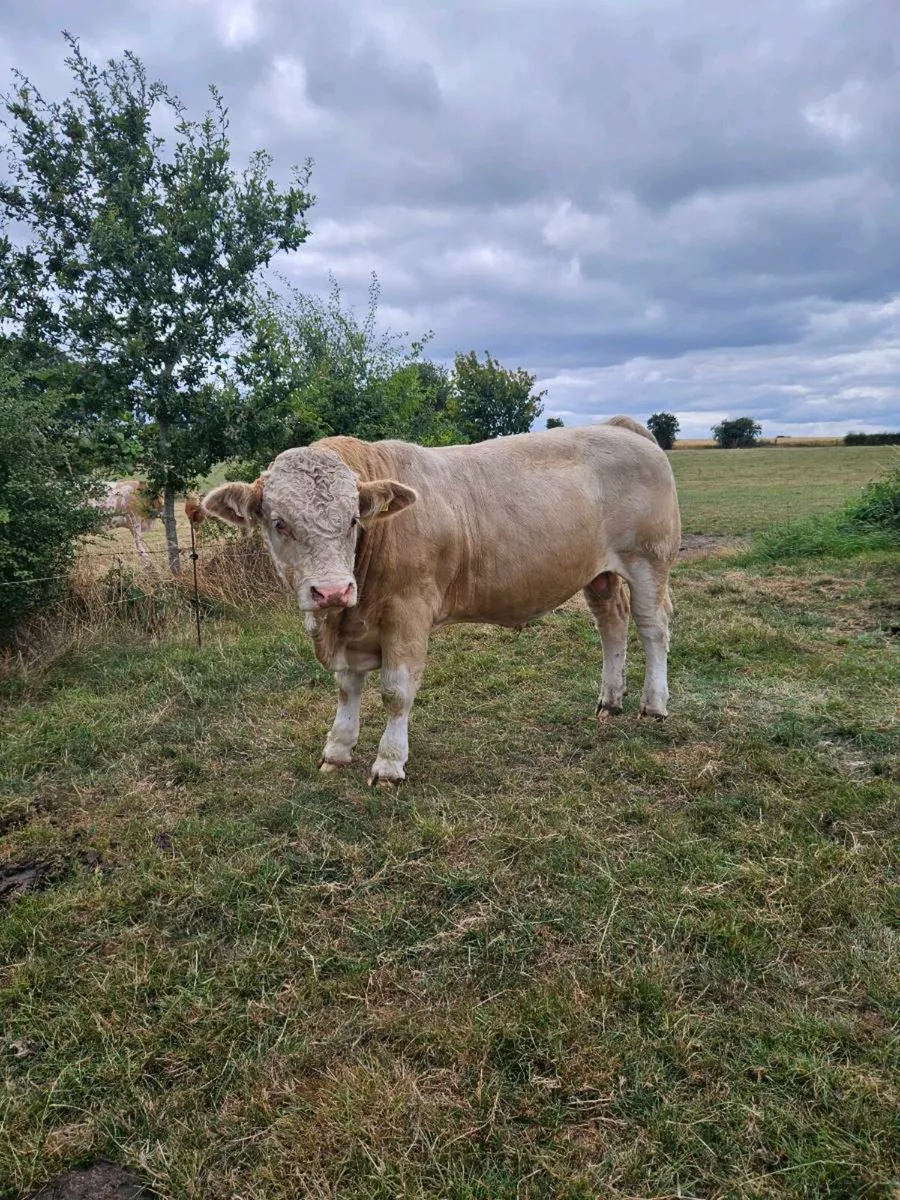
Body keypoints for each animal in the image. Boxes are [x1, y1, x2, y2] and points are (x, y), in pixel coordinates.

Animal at [191, 416, 681, 785]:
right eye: (279, 523)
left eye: (352, 520)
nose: (332, 590)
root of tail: (620, 427)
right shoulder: (352, 629)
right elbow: (347, 687)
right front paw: (337, 748)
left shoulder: (408, 612)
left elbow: (395, 692)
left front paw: (389, 764)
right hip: (598, 574)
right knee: (611, 624)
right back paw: (610, 701)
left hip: (649, 560)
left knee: (652, 627)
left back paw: (654, 705)